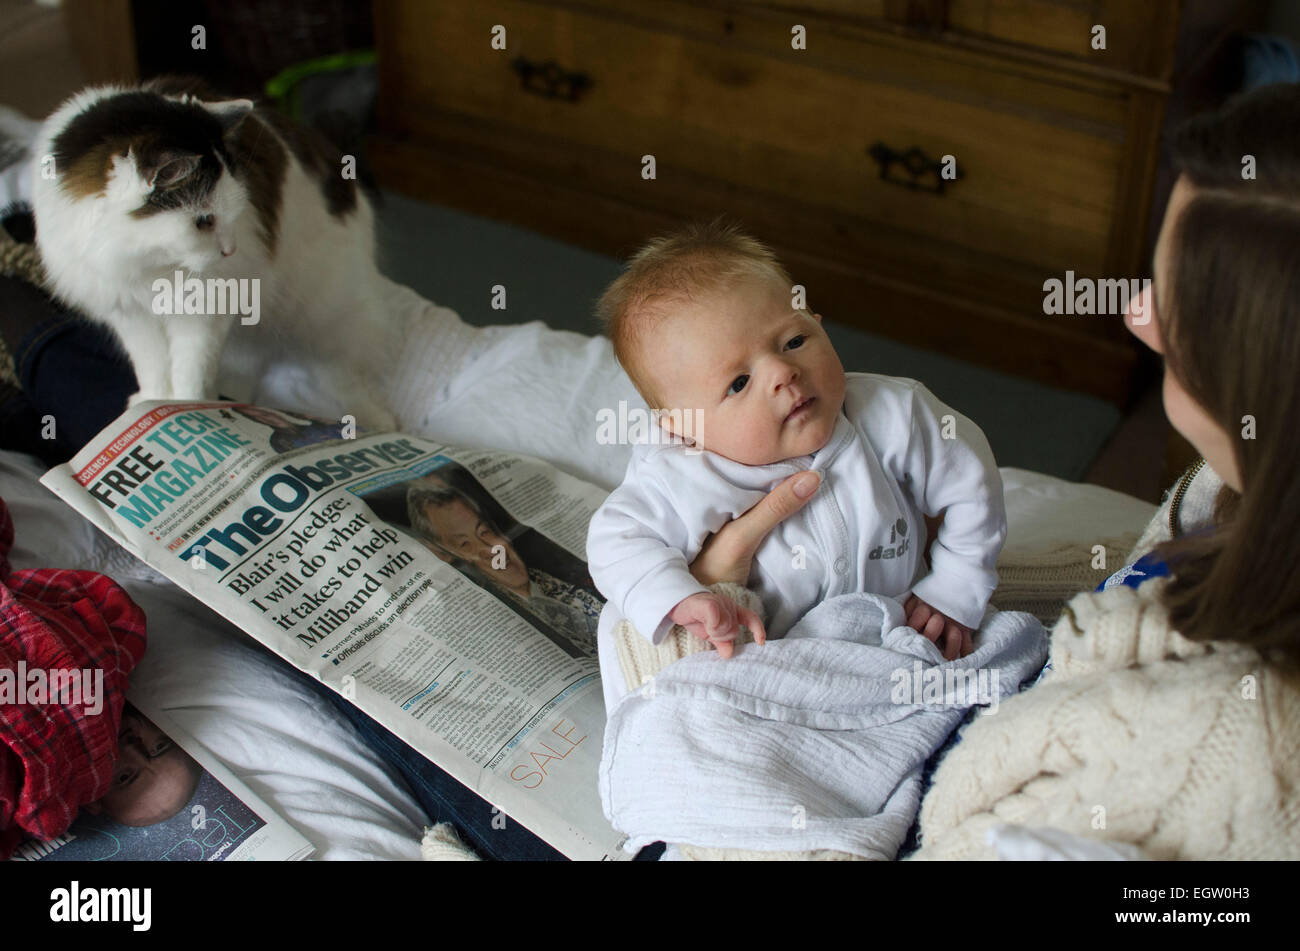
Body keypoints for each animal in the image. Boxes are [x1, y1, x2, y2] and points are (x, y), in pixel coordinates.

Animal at [31, 76, 395, 426]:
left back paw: (372, 422)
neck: (149, 266)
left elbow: (191, 371)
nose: (230, 251)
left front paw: (188, 410)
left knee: (342, 377)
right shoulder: (131, 313)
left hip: (322, 317)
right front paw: (153, 403)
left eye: (232, 212)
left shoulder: (204, 312)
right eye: (204, 221)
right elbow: (152, 366)